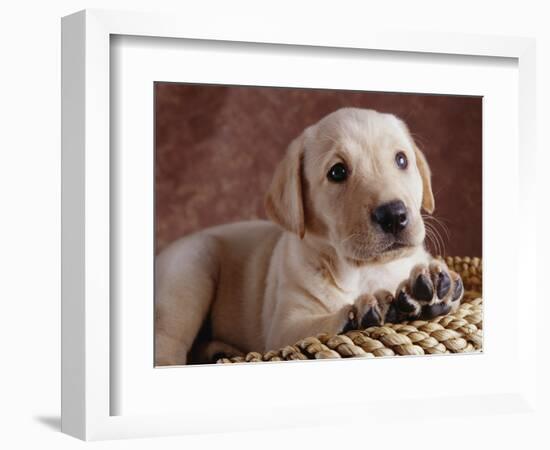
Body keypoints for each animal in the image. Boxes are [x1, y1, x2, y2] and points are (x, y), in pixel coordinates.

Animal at [156, 109, 466, 366]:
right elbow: (317, 328)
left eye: (401, 159)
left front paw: (433, 288)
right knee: (167, 342)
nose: (393, 215)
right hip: (191, 269)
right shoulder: (284, 327)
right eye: (337, 172)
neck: (365, 271)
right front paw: (359, 314)